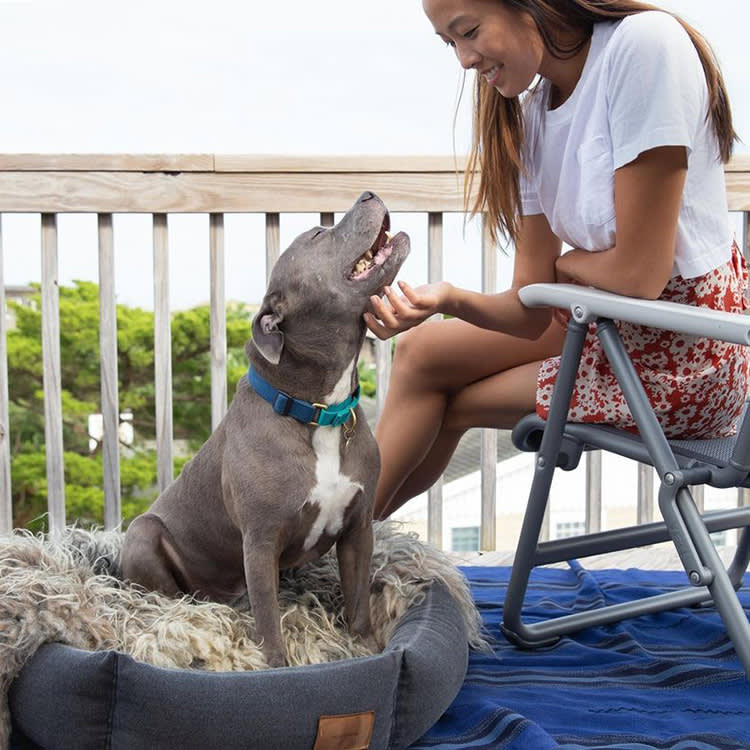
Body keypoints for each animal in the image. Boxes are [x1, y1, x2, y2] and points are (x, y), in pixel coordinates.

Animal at [120, 194, 412, 668]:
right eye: (318, 234)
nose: (367, 194)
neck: (317, 413)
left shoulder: (358, 529)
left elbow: (357, 601)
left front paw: (365, 649)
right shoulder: (260, 542)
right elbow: (270, 620)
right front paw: (276, 666)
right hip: (144, 533)